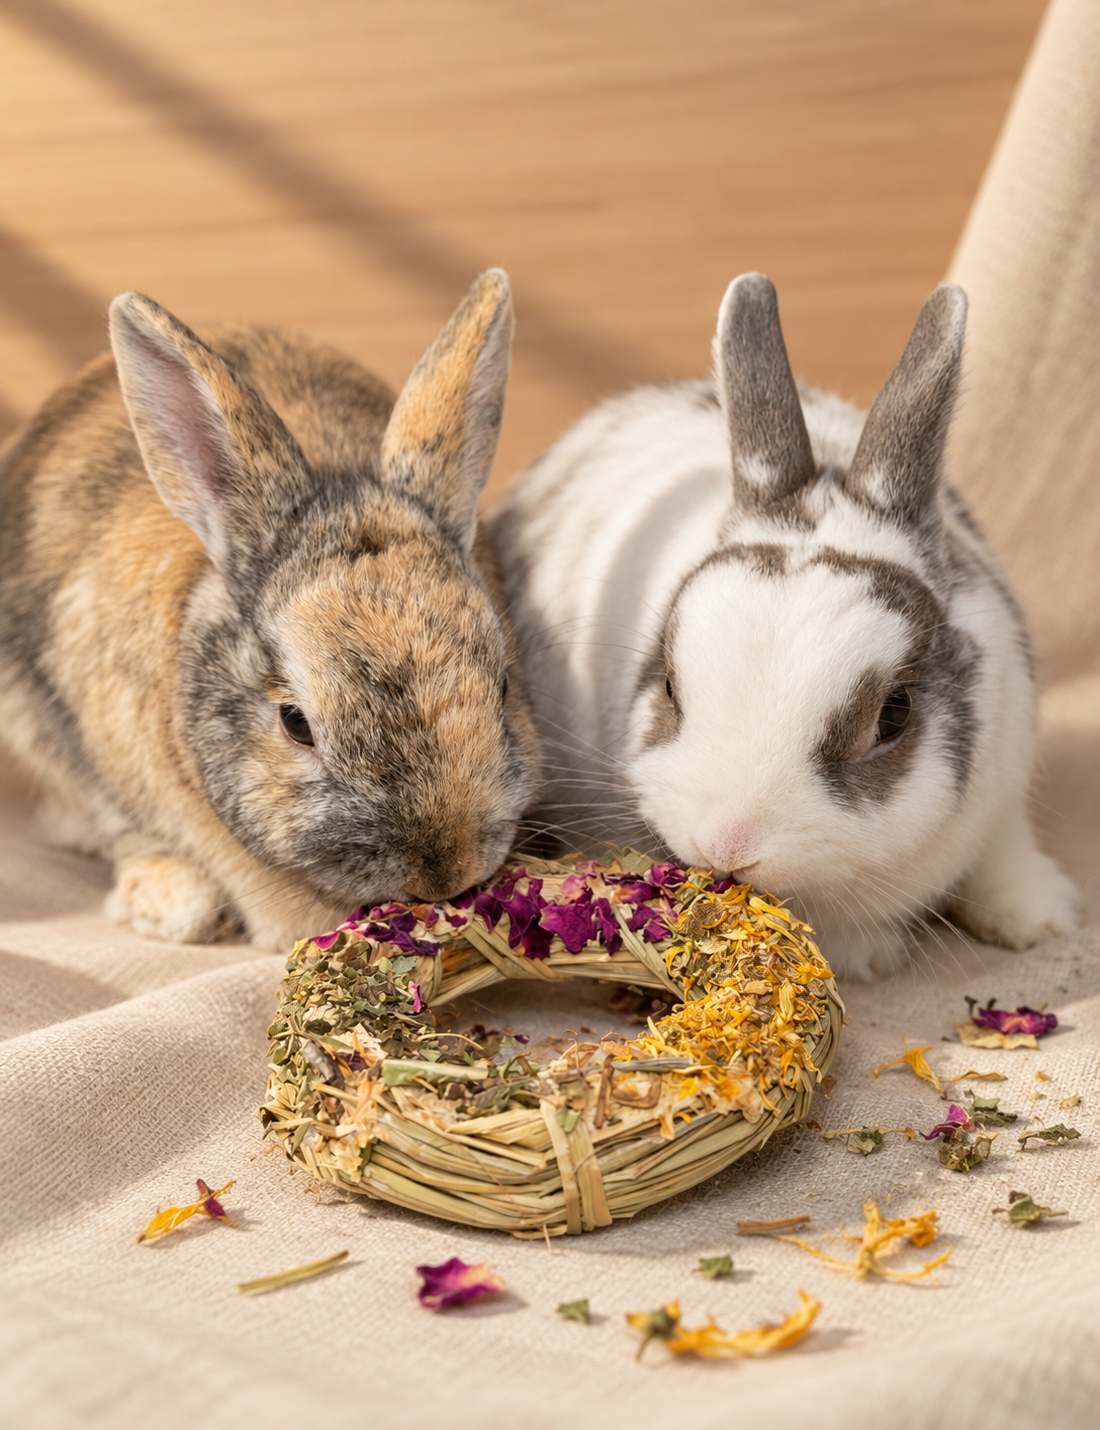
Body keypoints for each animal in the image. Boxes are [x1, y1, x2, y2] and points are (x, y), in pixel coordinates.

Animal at [494, 273, 1081, 979]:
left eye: (894, 715)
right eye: (669, 687)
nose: (727, 843)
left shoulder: (1004, 779)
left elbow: (1003, 849)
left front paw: (1039, 923)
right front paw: (868, 955)